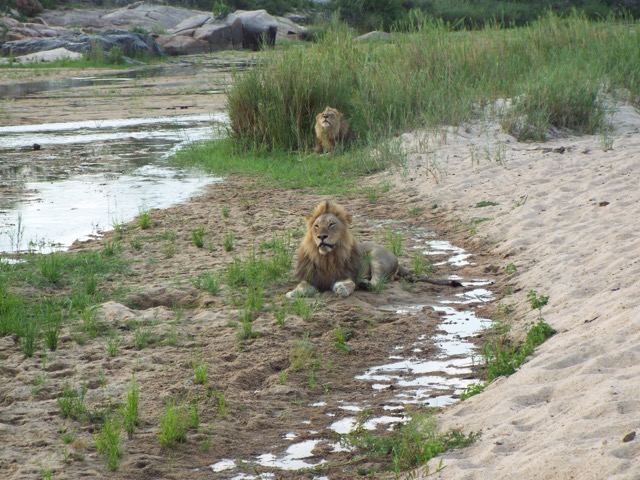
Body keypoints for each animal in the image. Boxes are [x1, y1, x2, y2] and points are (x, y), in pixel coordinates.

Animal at [286, 200, 461, 299]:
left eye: (331, 224)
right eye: (316, 226)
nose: (321, 237)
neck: (326, 257)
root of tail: (397, 260)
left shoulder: (347, 275)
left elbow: (349, 284)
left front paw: (342, 288)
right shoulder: (312, 278)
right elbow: (301, 287)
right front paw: (293, 293)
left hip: (377, 258)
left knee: (377, 282)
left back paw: (365, 284)